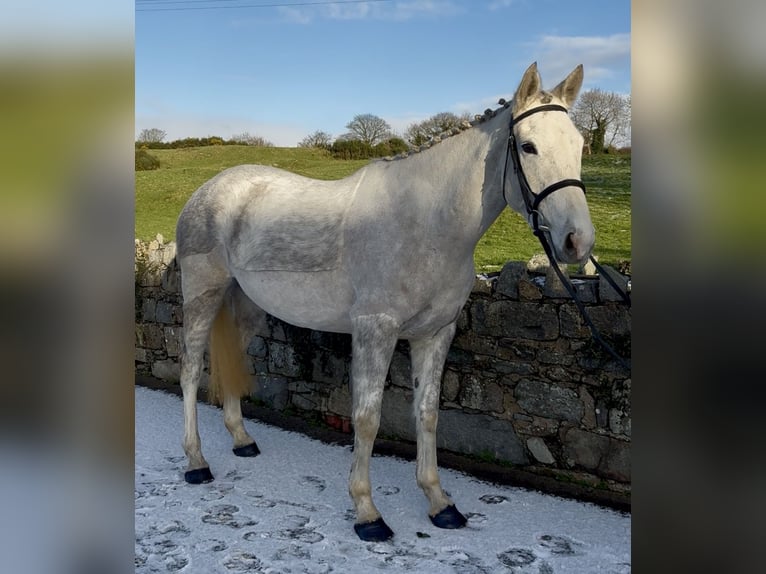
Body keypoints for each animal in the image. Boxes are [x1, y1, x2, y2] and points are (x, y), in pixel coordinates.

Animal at [175, 62, 594, 542]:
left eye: (579, 144)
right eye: (528, 146)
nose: (578, 241)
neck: (427, 222)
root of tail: (209, 189)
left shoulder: (436, 333)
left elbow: (427, 414)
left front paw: (439, 503)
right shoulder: (376, 328)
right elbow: (367, 418)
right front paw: (367, 512)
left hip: (246, 306)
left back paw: (242, 441)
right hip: (202, 295)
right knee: (190, 370)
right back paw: (196, 462)